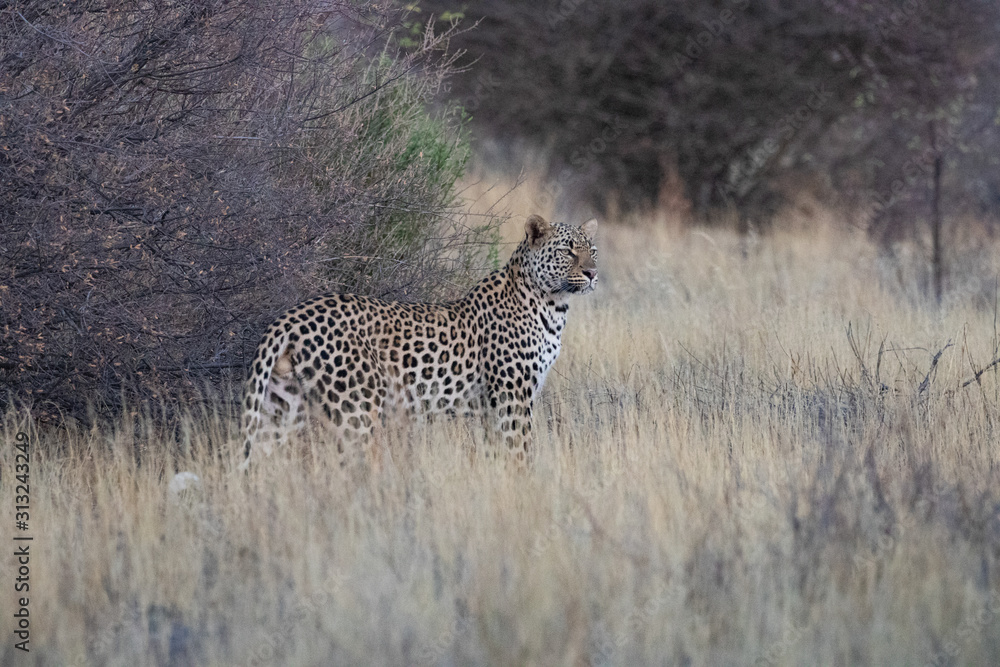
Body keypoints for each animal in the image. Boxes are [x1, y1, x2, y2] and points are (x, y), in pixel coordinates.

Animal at [238, 214, 598, 470]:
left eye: (592, 250)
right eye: (568, 251)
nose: (593, 273)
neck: (553, 304)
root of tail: (291, 315)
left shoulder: (494, 406)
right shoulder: (513, 397)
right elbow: (519, 452)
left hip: (282, 405)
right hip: (356, 410)